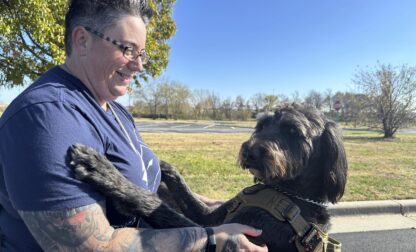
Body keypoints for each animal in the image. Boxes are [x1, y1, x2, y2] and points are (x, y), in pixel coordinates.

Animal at [69, 103, 348, 251]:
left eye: (293, 132)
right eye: (261, 125)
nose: (250, 152)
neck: (288, 193)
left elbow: (157, 207)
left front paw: (103, 171)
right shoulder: (211, 215)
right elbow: (182, 190)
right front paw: (163, 165)